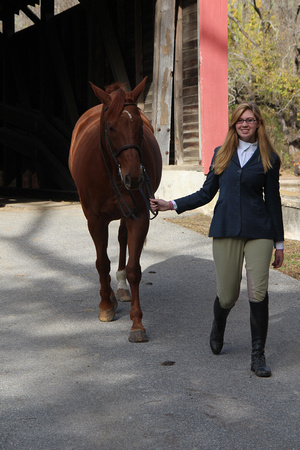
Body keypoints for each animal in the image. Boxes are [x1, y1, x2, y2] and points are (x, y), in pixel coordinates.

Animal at [69, 79, 162, 342]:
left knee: (122, 241)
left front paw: (137, 324)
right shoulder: (95, 220)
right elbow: (102, 263)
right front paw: (105, 306)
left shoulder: (138, 216)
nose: (134, 178)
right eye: (110, 128)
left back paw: (119, 288)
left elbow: (134, 270)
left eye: (139, 126)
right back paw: (110, 295)